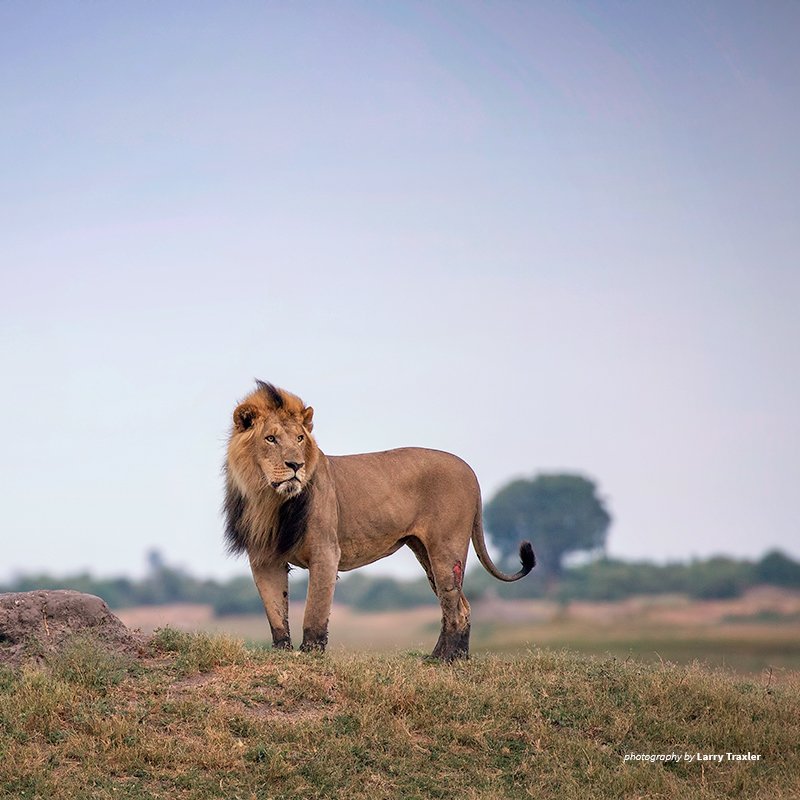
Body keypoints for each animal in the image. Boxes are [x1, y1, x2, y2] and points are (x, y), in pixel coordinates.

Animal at [224, 380, 535, 660]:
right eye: (271, 439)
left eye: (300, 439)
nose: (296, 465)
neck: (270, 499)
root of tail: (469, 470)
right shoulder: (264, 558)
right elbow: (276, 610)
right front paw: (282, 652)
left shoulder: (326, 551)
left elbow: (315, 610)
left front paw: (311, 654)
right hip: (424, 552)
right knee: (461, 606)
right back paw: (441, 658)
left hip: (447, 550)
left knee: (454, 605)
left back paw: (448, 660)